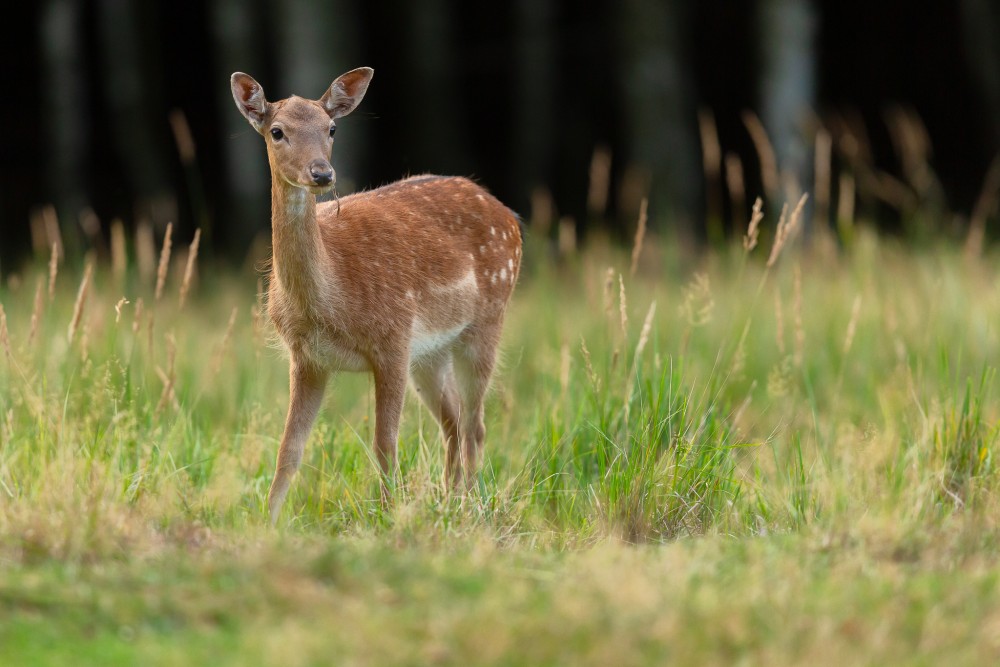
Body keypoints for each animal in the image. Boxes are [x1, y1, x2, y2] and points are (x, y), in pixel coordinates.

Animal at [229, 69, 520, 528]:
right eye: (277, 131)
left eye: (331, 128)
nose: (322, 173)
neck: (331, 299)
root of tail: (510, 217)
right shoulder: (308, 358)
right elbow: (288, 450)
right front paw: (268, 524)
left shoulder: (392, 339)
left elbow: (385, 443)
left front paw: (387, 519)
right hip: (430, 352)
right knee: (454, 419)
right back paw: (449, 500)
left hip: (488, 318)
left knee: (475, 424)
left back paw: (472, 506)